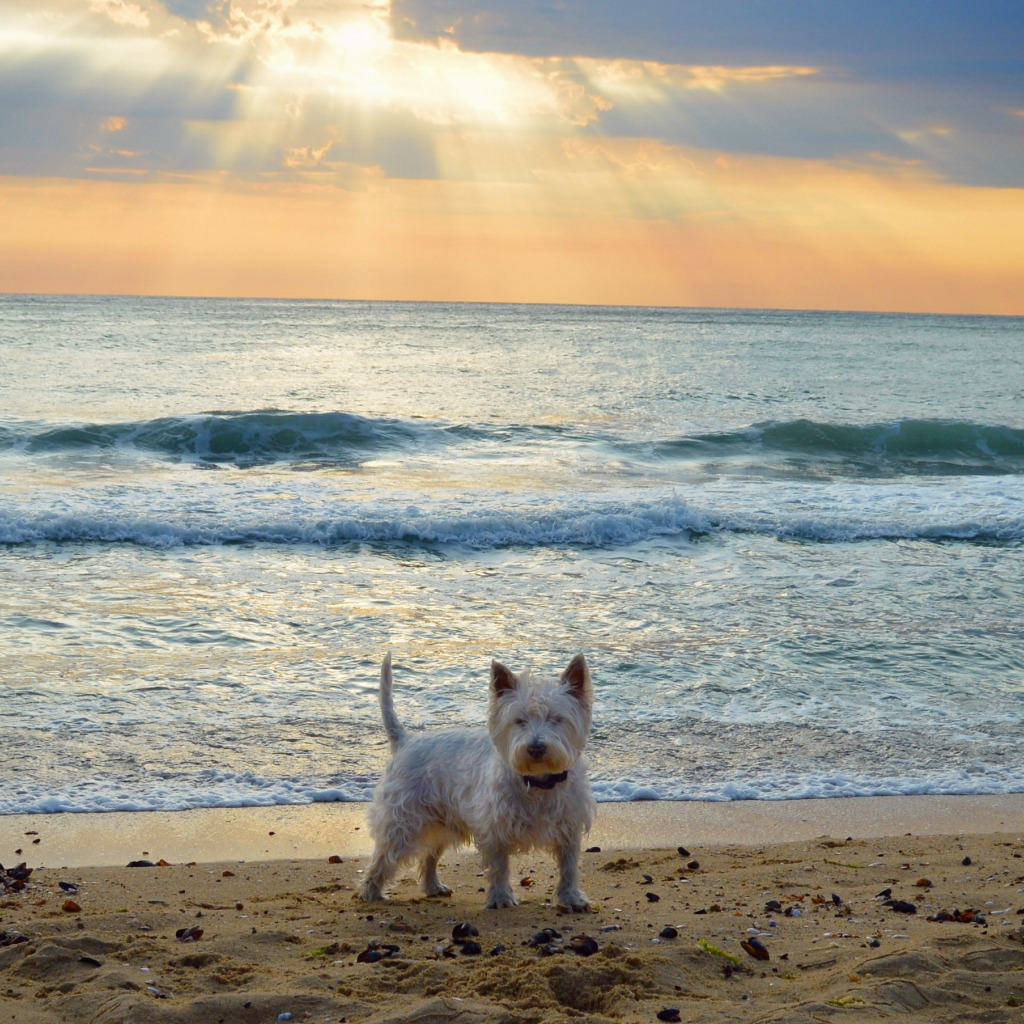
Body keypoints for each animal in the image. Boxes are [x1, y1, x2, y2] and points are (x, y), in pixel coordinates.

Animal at [362, 651, 598, 909]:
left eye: (556, 719)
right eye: (519, 720)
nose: (535, 748)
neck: (538, 781)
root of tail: (405, 741)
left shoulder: (569, 827)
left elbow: (569, 866)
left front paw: (571, 898)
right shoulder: (495, 829)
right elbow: (499, 866)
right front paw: (501, 898)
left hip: (443, 822)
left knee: (429, 856)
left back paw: (433, 886)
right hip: (402, 821)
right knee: (383, 857)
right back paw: (370, 893)